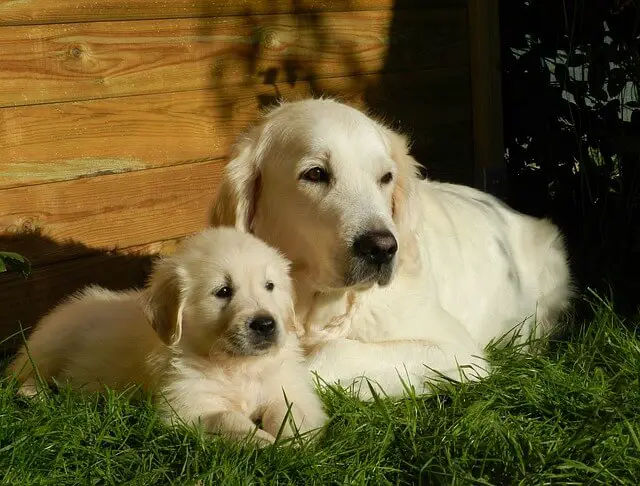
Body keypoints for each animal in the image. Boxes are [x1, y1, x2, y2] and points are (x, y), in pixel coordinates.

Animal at [8, 229, 330, 448]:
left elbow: (288, 410)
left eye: (270, 286)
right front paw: (263, 443)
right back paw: (33, 393)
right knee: (21, 372)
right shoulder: (185, 408)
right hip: (51, 340)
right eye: (223, 291)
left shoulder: (289, 387)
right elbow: (228, 418)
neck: (235, 366)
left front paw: (292, 442)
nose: (265, 324)